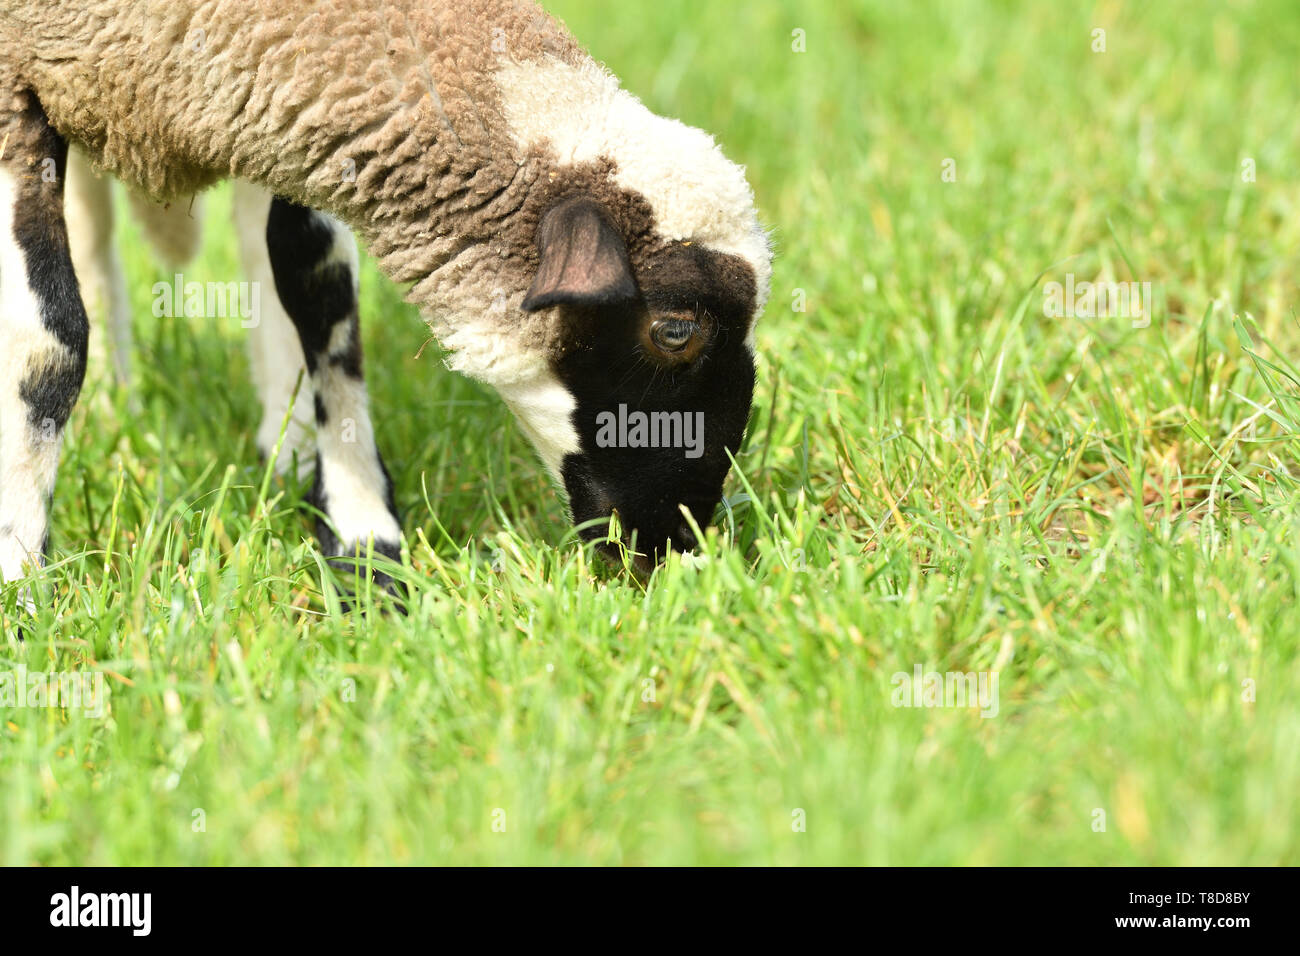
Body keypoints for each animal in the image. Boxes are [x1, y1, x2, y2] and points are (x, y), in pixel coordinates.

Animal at [0, 0, 772, 602]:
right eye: (675, 331)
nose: (680, 545)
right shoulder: (18, 74)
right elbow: (51, 336)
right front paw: (20, 573)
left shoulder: (291, 99)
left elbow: (319, 296)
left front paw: (362, 540)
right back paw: (119, 405)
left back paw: (283, 441)